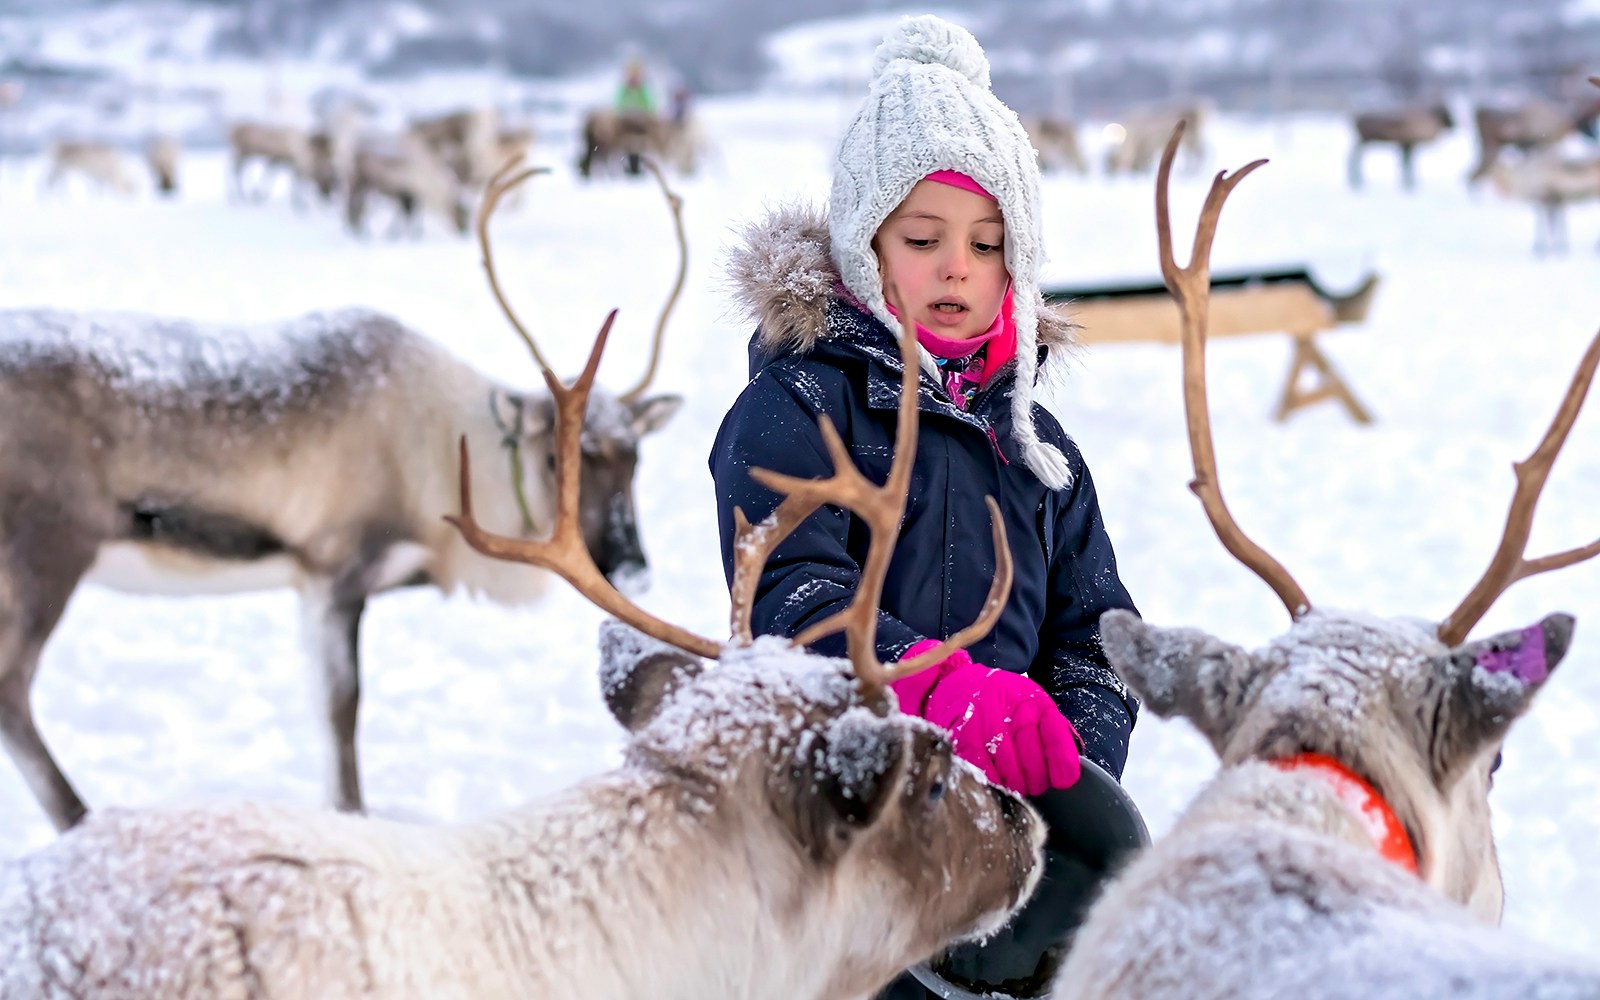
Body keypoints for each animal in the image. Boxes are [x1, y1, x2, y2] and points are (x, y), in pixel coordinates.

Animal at [0, 158, 689, 833]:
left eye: (635, 455)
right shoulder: (335, 570)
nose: (632, 565)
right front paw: (352, 814)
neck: (446, 460)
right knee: (12, 689)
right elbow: (342, 709)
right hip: (47, 555)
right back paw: (79, 818)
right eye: (555, 456)